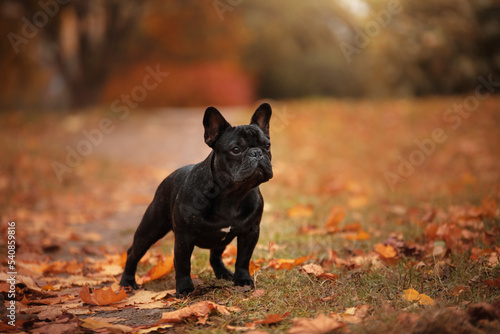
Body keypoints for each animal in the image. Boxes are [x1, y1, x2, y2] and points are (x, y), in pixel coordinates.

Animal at [120, 103, 274, 296]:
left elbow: (243, 259)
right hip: (151, 227)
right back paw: (126, 282)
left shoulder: (250, 231)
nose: (257, 153)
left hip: (222, 238)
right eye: (236, 150)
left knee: (215, 255)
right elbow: (183, 264)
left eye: (267, 146)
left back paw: (223, 273)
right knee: (133, 252)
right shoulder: (184, 237)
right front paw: (185, 289)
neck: (232, 195)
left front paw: (243, 280)